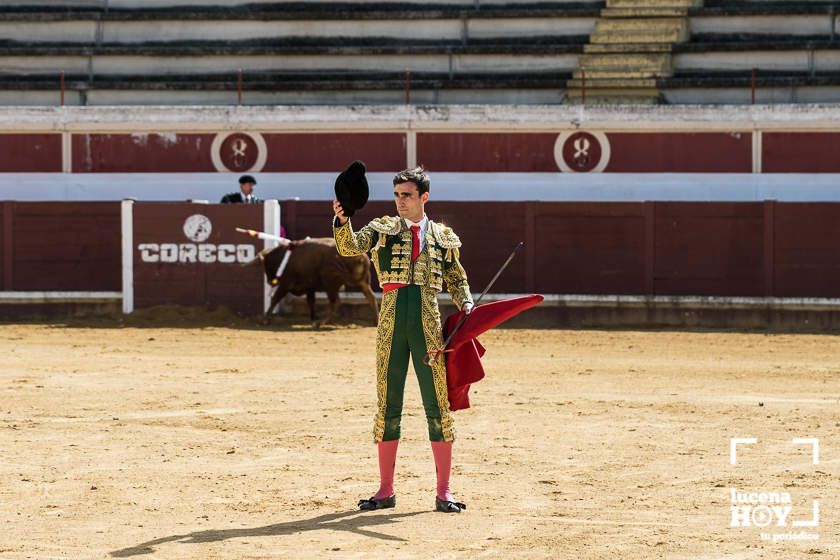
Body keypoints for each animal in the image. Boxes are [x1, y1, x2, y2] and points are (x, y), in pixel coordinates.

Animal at [248, 237, 378, 328]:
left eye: (265, 265)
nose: (270, 282)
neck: (286, 258)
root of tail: (361, 257)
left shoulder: (285, 283)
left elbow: (275, 298)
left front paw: (265, 319)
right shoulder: (309, 286)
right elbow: (311, 302)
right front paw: (313, 318)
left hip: (330, 284)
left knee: (335, 302)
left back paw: (320, 323)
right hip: (363, 283)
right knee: (371, 298)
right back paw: (375, 322)